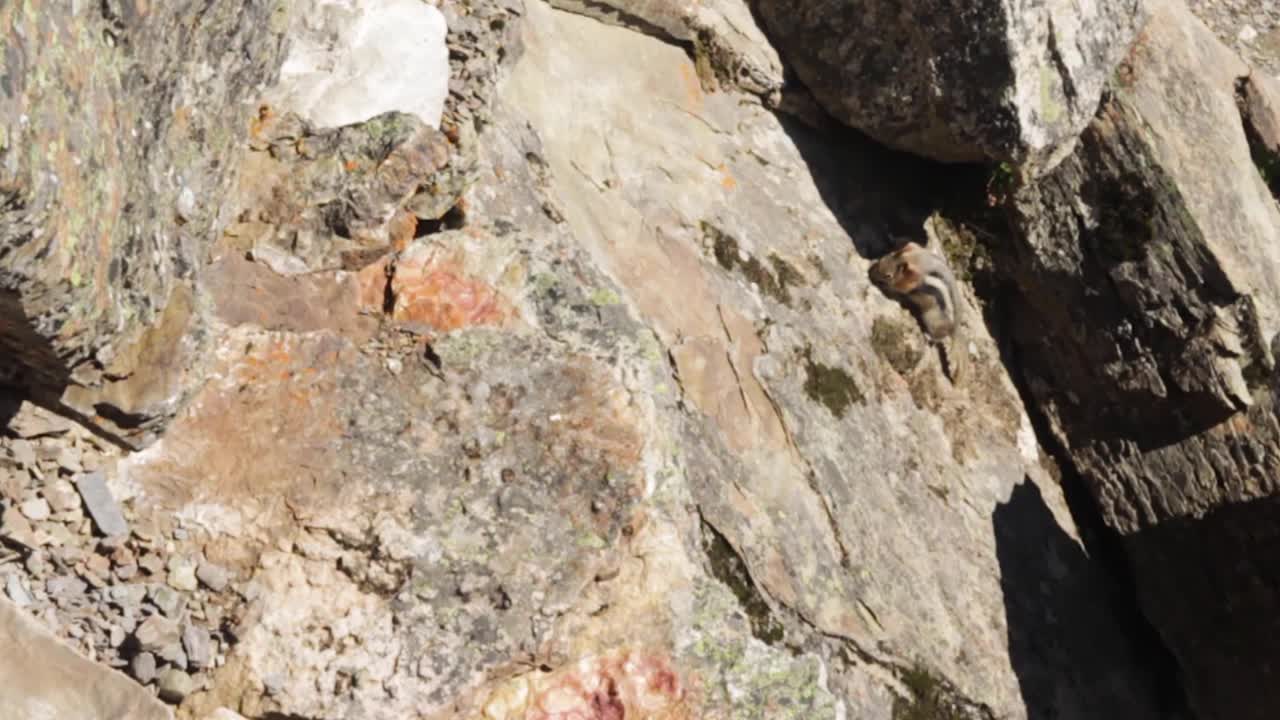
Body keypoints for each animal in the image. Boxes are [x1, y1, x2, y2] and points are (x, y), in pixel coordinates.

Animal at [869, 241, 965, 379]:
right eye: (885, 256)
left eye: (888, 276)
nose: (870, 273)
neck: (917, 259)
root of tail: (955, 329)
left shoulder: (910, 283)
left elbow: (901, 289)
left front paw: (887, 288)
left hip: (933, 321)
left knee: (936, 339)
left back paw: (927, 335)